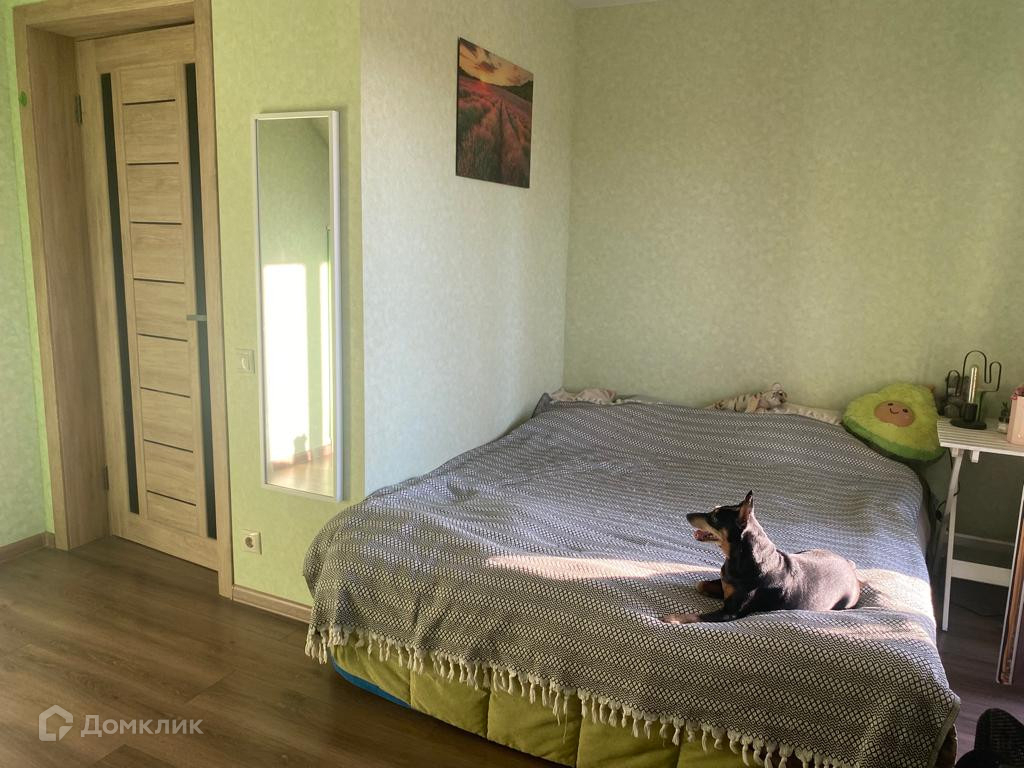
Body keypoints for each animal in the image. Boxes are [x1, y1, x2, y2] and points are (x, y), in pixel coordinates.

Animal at [661, 491, 860, 624]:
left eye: (715, 518)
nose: (687, 515)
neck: (737, 558)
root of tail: (851, 569)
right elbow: (701, 584)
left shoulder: (730, 612)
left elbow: (699, 615)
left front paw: (672, 617)